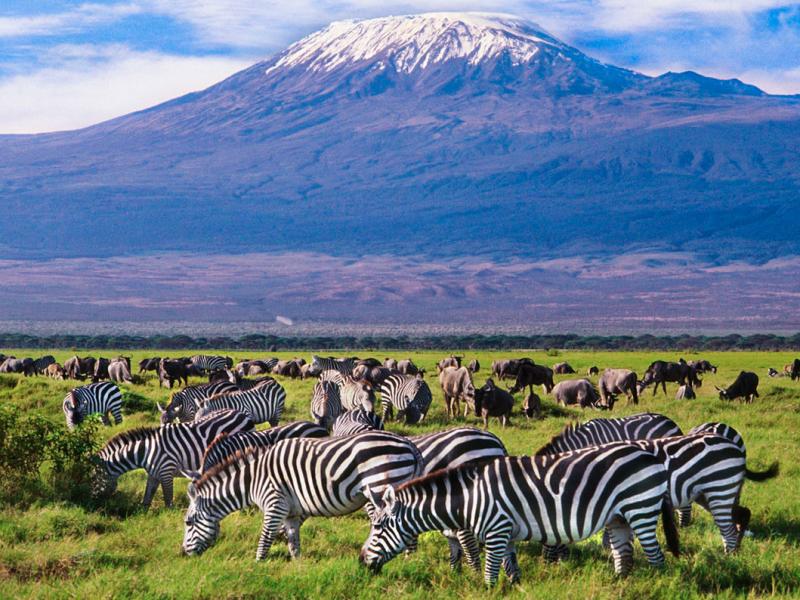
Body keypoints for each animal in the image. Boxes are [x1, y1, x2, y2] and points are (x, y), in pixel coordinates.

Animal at [93, 410, 253, 508]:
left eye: (93, 477)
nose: (95, 502)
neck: (145, 451)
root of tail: (242, 414)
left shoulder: (166, 471)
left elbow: (168, 500)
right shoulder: (154, 474)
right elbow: (147, 497)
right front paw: (143, 515)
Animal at [178, 432, 422, 556]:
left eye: (188, 522)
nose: (183, 553)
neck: (252, 480)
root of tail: (408, 443)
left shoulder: (274, 503)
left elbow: (265, 538)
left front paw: (258, 567)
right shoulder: (291, 512)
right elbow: (293, 540)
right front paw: (298, 567)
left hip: (382, 485)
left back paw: (405, 562)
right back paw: (410, 561)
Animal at [360, 442, 680, 584]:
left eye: (378, 528)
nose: (361, 562)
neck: (470, 497)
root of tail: (650, 455)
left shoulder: (496, 529)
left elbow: (490, 571)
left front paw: (488, 590)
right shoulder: (508, 534)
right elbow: (511, 568)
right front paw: (514, 587)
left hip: (640, 508)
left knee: (656, 556)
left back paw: (660, 581)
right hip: (618, 517)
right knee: (623, 555)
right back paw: (618, 585)